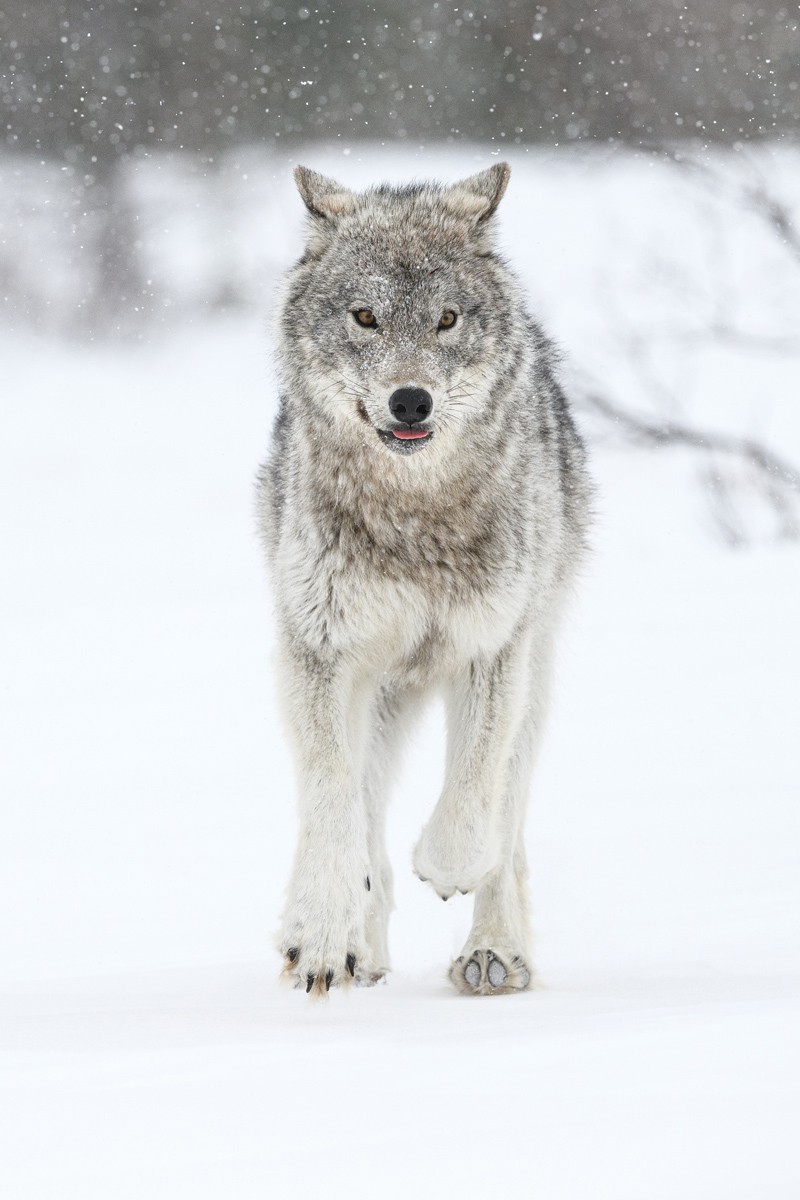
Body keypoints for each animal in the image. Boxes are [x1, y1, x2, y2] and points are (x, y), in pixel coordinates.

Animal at [257, 162, 590, 997]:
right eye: (365, 317)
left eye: (446, 319)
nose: (411, 400)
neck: (415, 521)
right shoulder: (316, 651)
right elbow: (332, 798)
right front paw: (319, 933)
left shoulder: (495, 648)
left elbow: (475, 800)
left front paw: (446, 869)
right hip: (376, 690)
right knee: (363, 808)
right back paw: (356, 948)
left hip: (535, 674)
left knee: (508, 815)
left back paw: (494, 953)